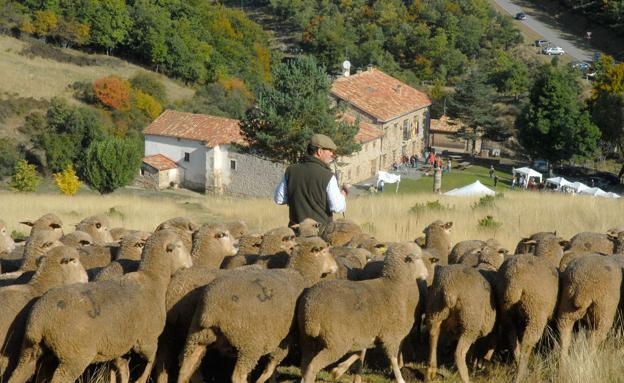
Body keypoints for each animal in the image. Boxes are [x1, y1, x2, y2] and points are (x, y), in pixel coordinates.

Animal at [178, 237, 338, 383]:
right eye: (325, 251)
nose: (336, 267)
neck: (300, 275)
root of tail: (211, 310)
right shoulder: (286, 339)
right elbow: (271, 366)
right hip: (249, 344)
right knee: (238, 376)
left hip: (197, 335)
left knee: (185, 368)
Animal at [298, 243, 428, 383]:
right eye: (418, 258)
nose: (426, 274)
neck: (397, 285)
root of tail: (312, 310)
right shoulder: (391, 335)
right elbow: (392, 359)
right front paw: (400, 379)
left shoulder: (366, 334)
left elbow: (359, 353)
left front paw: (339, 370)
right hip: (336, 341)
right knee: (312, 367)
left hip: (308, 339)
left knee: (305, 365)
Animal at [494, 254, 560, 382]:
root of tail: (514, 281)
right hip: (535, 311)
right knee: (527, 342)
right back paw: (521, 373)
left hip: (507, 310)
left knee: (511, 336)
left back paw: (517, 361)